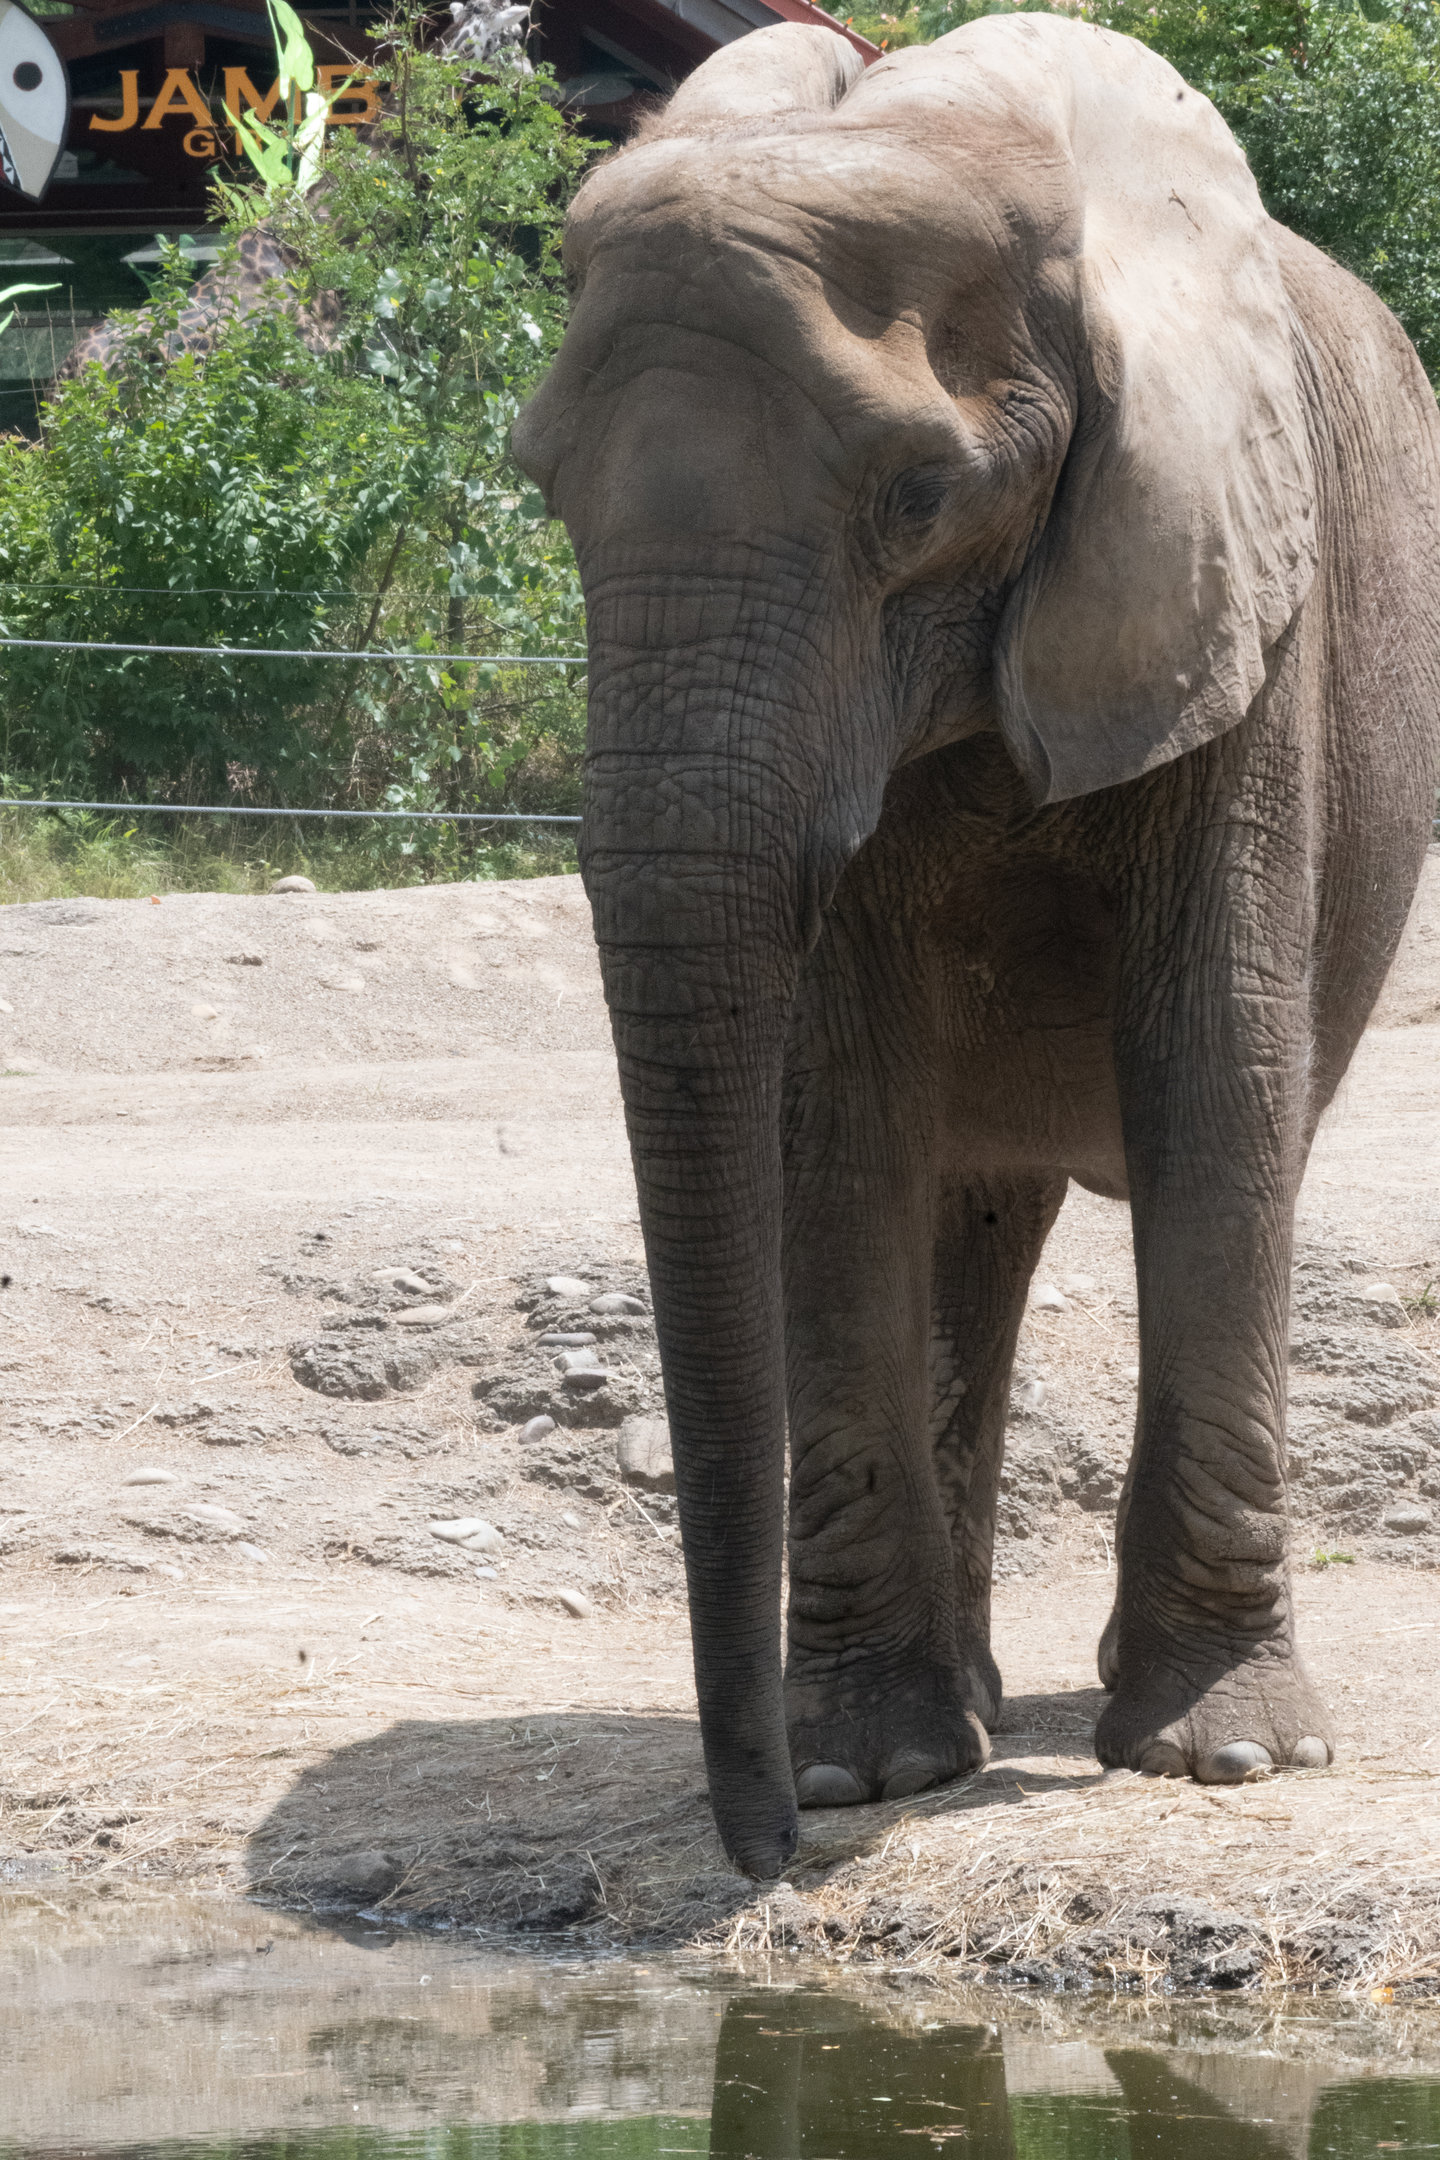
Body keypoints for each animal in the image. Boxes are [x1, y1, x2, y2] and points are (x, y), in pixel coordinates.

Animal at [514, 11, 1440, 1879]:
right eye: (546, 494)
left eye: (923, 496)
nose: (764, 1847)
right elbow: (837, 1120)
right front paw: (866, 1774)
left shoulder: (1238, 583)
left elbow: (1216, 1076)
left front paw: (1227, 1760)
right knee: (967, 1217)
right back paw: (975, 1705)